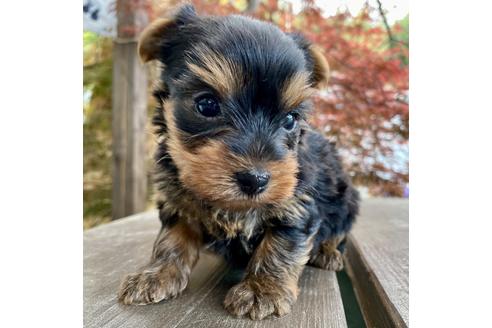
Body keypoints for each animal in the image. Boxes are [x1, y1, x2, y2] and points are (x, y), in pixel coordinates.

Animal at [117, 3, 360, 320]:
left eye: (290, 119)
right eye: (206, 105)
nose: (255, 179)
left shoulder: (297, 202)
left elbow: (282, 243)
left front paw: (262, 289)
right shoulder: (176, 196)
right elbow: (172, 237)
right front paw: (156, 273)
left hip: (346, 199)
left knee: (338, 228)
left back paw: (328, 252)